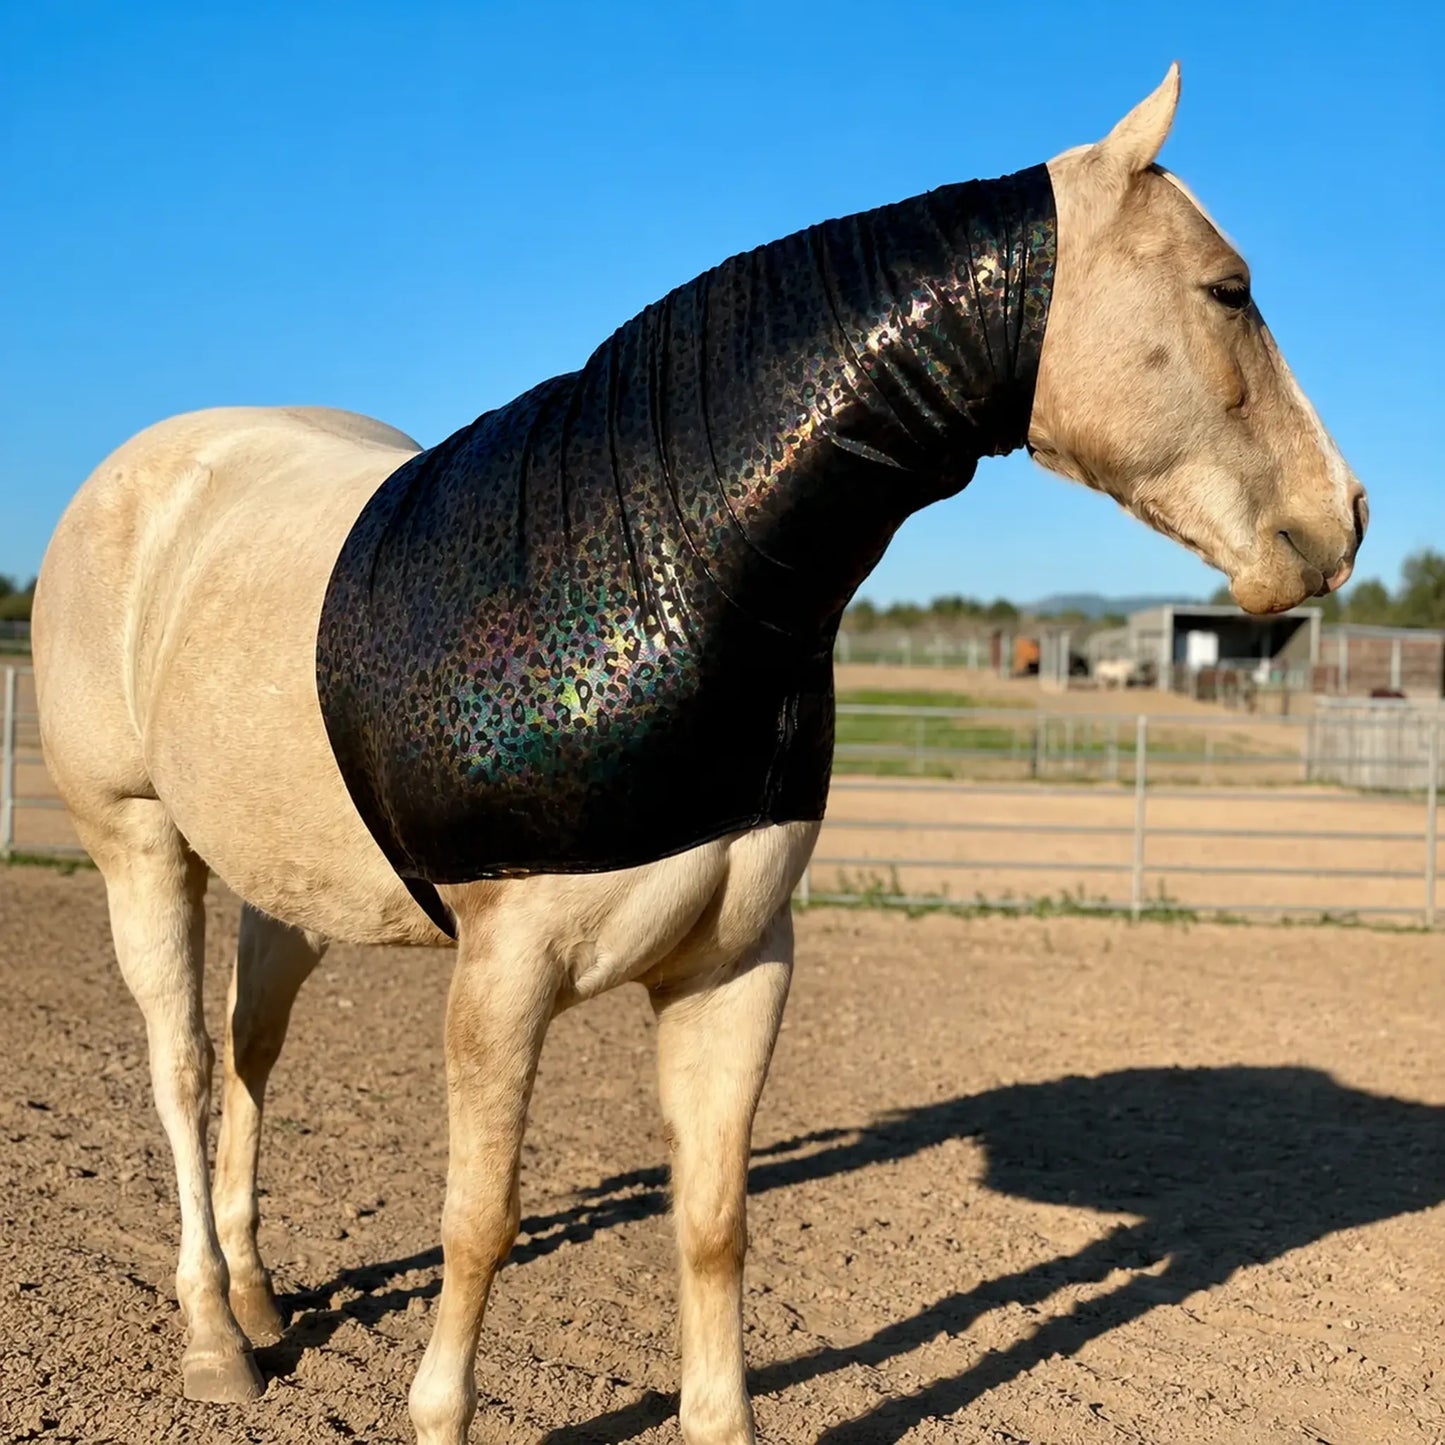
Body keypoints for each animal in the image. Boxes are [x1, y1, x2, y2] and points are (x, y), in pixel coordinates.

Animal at [30, 64, 1366, 1444]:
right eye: (1227, 289)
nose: (1340, 519)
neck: (675, 568)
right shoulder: (500, 984)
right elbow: (477, 1223)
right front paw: (438, 1409)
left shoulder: (733, 967)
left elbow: (713, 1223)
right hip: (140, 842)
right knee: (181, 1066)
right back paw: (212, 1337)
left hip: (284, 883)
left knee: (249, 1054)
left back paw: (258, 1295)